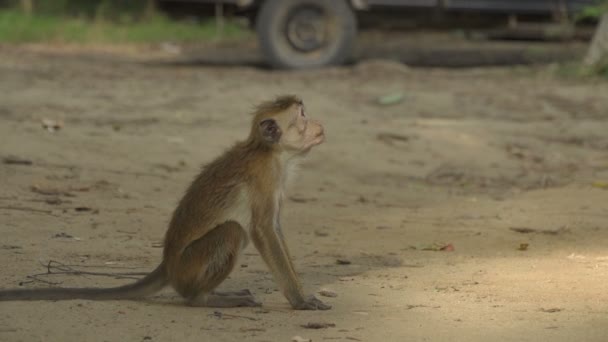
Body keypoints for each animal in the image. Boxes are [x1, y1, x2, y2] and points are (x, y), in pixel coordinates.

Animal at [0, 95, 330, 312]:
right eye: (302, 116)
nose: (318, 124)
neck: (270, 152)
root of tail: (168, 265)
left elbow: (274, 228)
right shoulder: (265, 176)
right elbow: (263, 230)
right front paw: (299, 300)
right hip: (189, 268)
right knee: (233, 232)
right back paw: (201, 299)